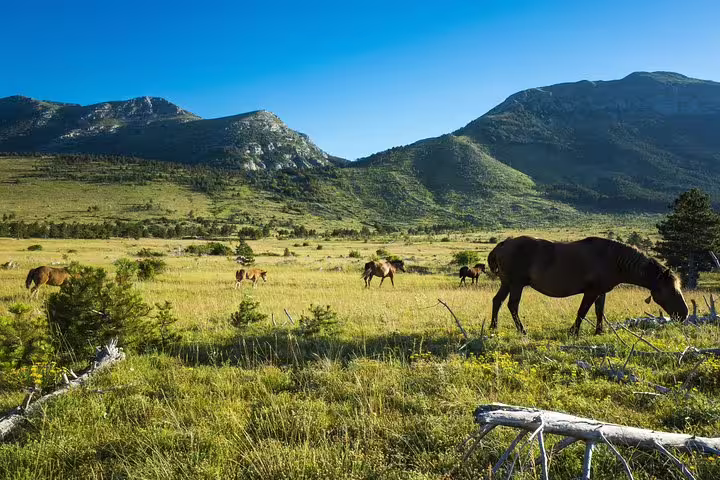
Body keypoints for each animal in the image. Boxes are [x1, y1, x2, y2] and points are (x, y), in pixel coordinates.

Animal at [488, 236, 688, 336]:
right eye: (671, 290)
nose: (684, 314)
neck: (613, 259)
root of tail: (503, 244)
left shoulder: (601, 292)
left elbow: (599, 311)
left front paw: (599, 331)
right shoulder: (591, 292)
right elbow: (582, 312)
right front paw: (573, 332)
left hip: (507, 283)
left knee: (497, 301)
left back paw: (493, 327)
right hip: (516, 284)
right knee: (512, 305)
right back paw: (522, 330)